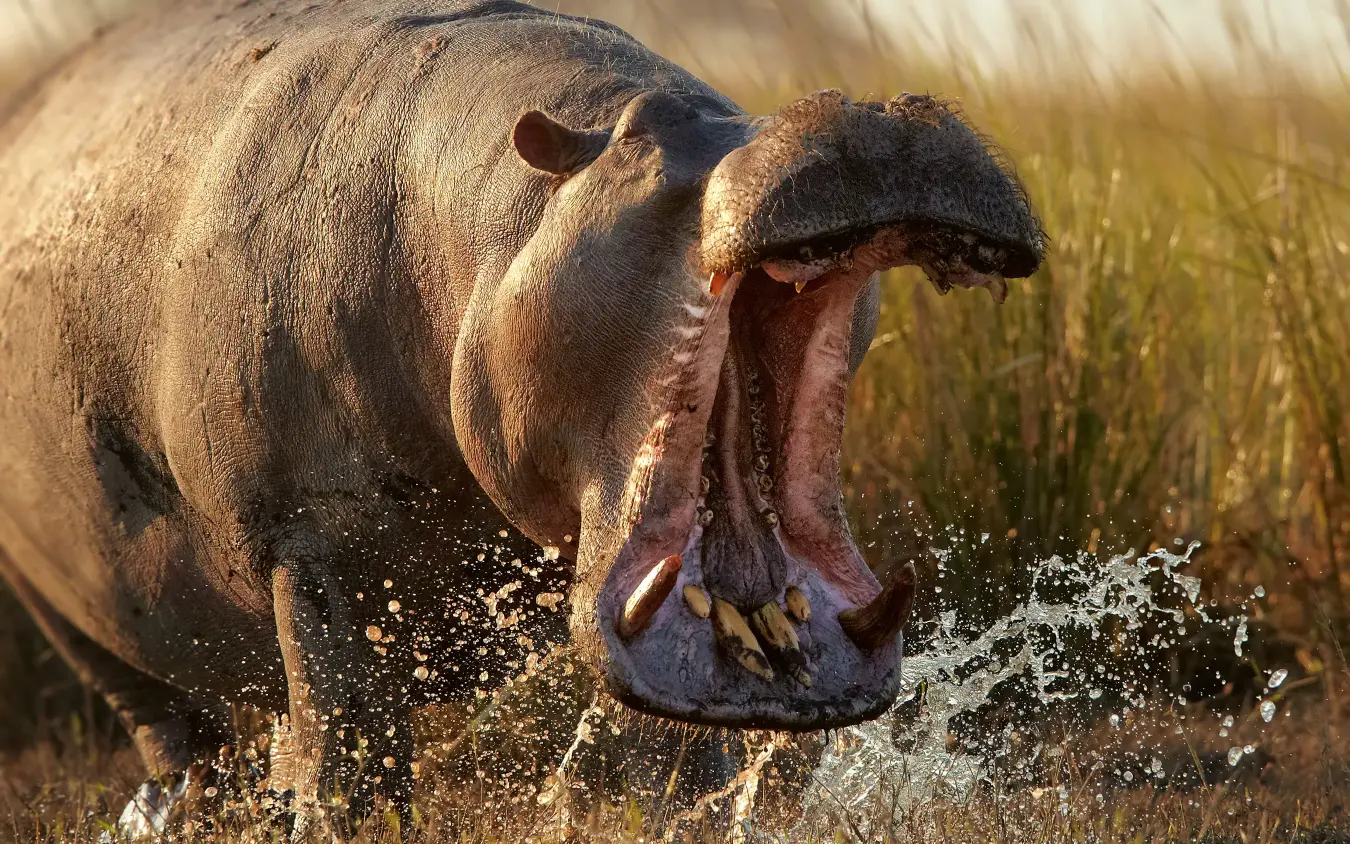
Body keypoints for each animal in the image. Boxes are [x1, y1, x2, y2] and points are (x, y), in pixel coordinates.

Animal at [0, 0, 1043, 835]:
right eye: (642, 135)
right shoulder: (305, 541)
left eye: (741, 106)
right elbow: (351, 753)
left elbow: (666, 757)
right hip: (88, 633)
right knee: (182, 741)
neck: (492, 214)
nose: (874, 120)